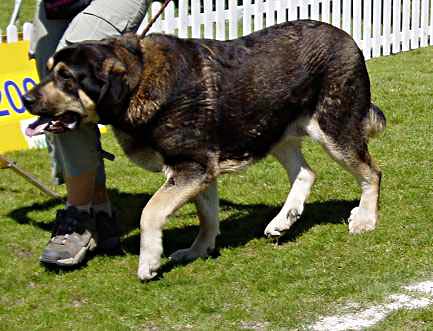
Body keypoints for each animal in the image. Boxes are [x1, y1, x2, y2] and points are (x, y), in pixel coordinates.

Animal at [22, 20, 384, 280]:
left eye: (67, 78)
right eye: (49, 71)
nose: (25, 99)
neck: (137, 83)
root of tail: (346, 37)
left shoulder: (191, 168)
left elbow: (150, 212)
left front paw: (149, 262)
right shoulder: (201, 171)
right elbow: (207, 215)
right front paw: (199, 250)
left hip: (334, 131)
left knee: (372, 173)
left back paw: (365, 218)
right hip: (273, 132)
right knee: (306, 172)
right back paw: (283, 220)